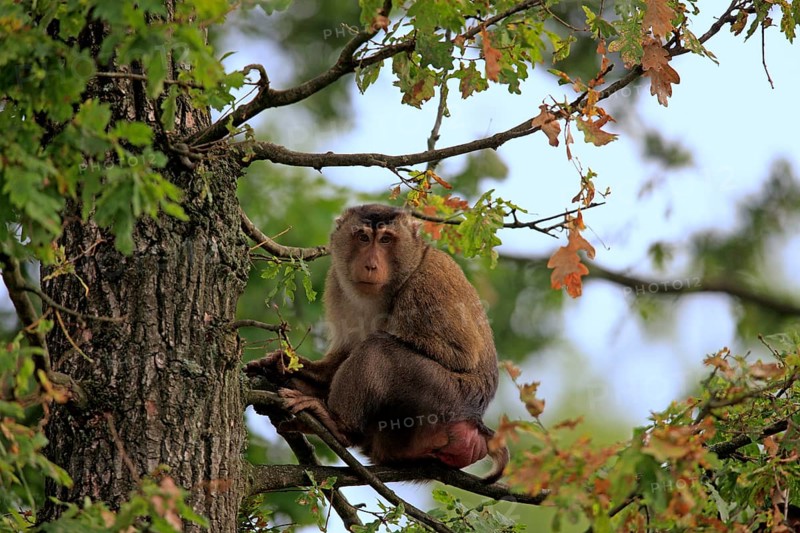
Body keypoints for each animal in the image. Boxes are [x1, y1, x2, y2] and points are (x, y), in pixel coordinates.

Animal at [246, 204, 508, 483]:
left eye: (385, 240)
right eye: (363, 238)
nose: (370, 265)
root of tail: (476, 421)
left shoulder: (430, 283)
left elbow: (460, 355)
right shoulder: (336, 283)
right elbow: (341, 354)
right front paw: (282, 365)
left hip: (446, 398)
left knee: (378, 348)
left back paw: (339, 425)